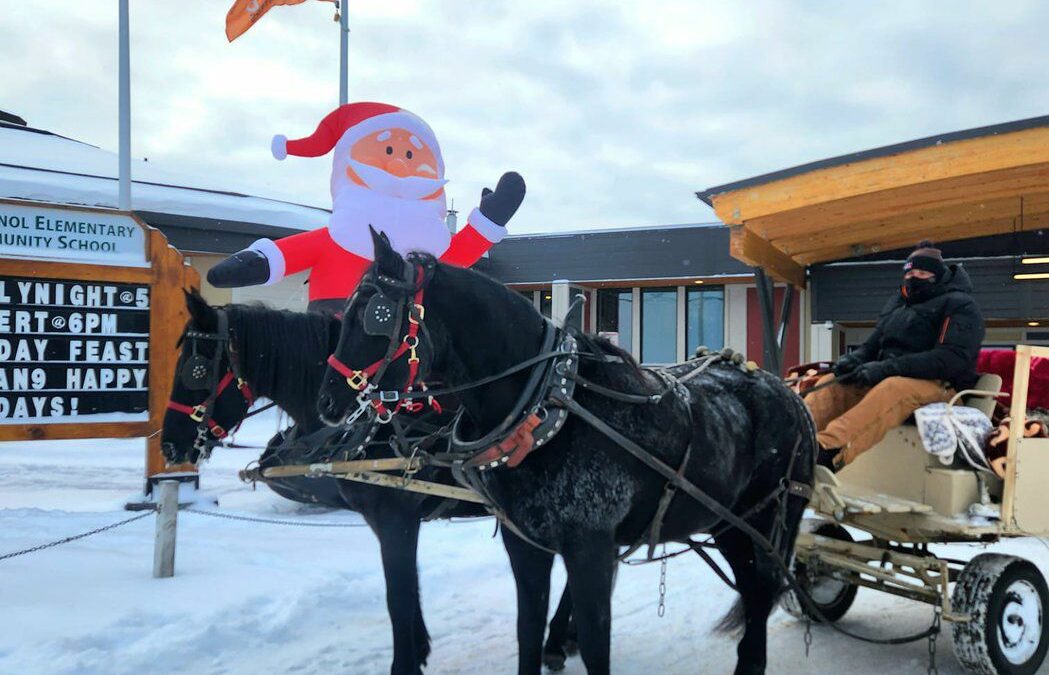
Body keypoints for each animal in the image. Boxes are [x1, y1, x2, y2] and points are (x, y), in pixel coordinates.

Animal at [159, 293, 579, 675]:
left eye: (194, 369)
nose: (168, 443)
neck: (371, 423)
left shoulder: (396, 515)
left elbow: (398, 592)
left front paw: (405, 663)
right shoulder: (381, 519)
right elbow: (407, 587)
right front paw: (419, 646)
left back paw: (559, 639)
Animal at [314, 234, 814, 675]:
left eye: (372, 314)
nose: (328, 402)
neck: (547, 408)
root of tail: (791, 396)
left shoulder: (588, 544)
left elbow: (595, 643)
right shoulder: (525, 542)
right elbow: (527, 629)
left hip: (765, 518)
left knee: (761, 590)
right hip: (727, 524)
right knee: (753, 589)